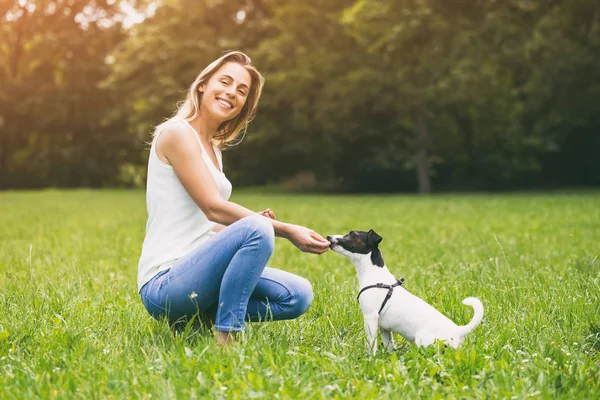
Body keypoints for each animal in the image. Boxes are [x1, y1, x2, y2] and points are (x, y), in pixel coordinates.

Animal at [328, 230, 482, 354]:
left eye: (352, 234)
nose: (329, 237)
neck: (374, 273)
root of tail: (458, 330)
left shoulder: (370, 318)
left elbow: (372, 344)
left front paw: (370, 358)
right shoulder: (384, 328)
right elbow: (389, 346)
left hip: (423, 341)